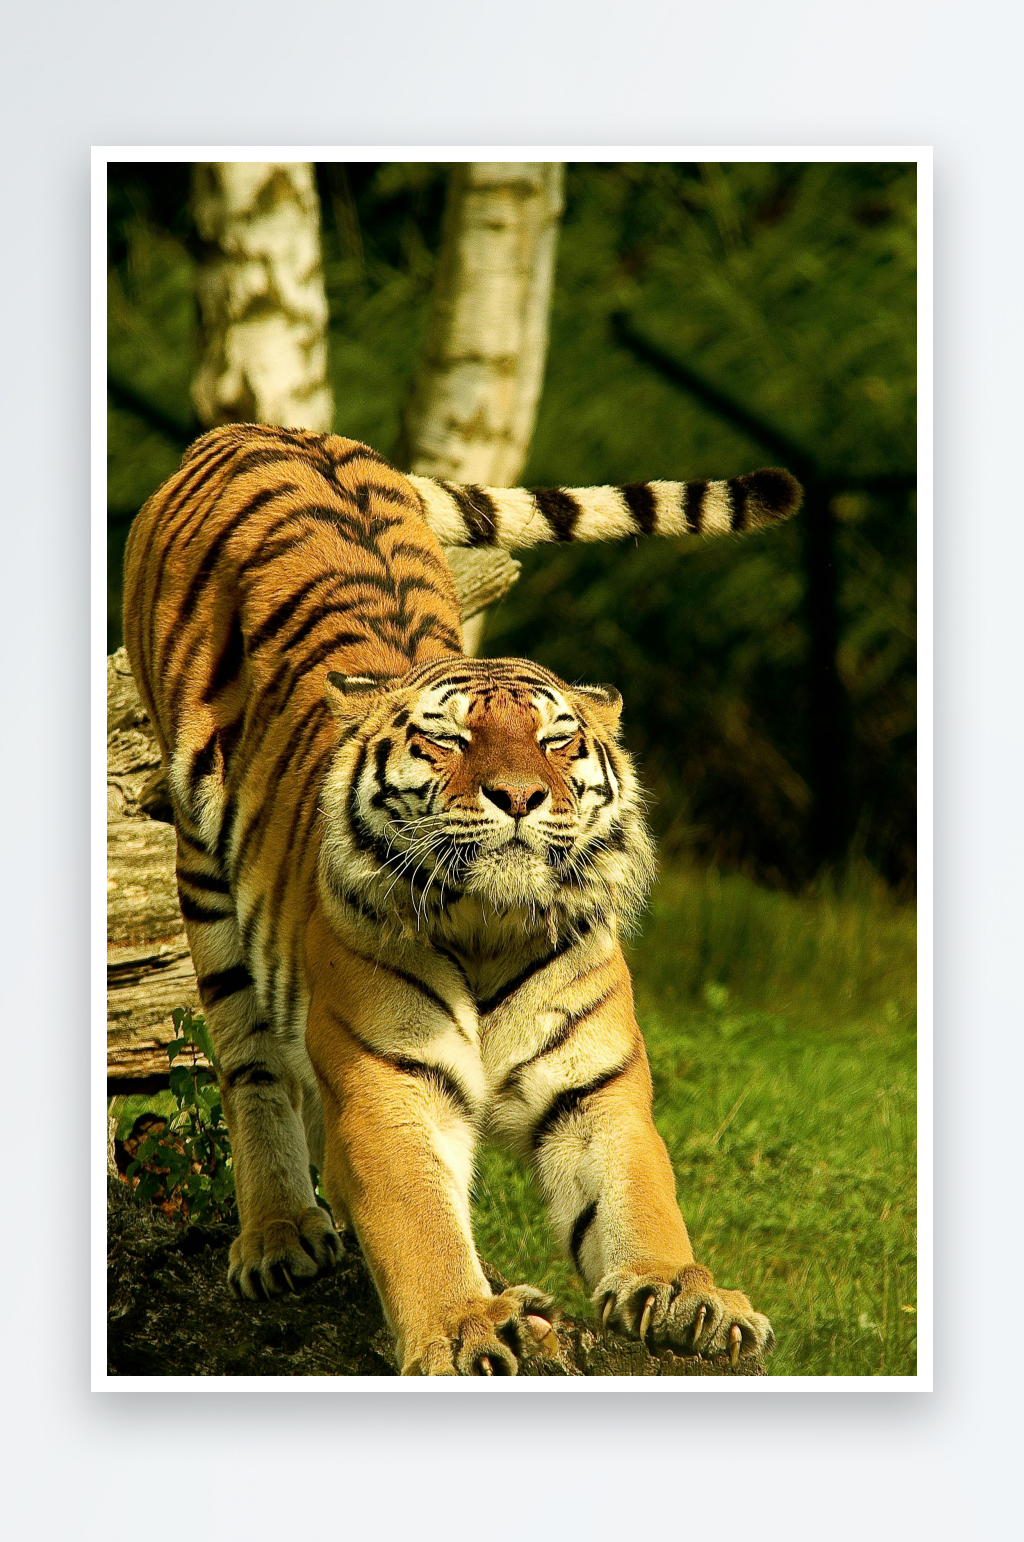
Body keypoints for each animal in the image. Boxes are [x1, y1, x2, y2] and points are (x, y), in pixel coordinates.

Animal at [122, 421, 801, 1376]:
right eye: (447, 739)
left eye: (558, 741)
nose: (519, 795)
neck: (489, 928)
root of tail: (262, 429)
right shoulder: (387, 1084)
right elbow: (419, 1225)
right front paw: (468, 1324)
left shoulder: (597, 1089)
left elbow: (640, 1197)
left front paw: (684, 1291)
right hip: (202, 875)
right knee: (249, 1062)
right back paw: (279, 1235)